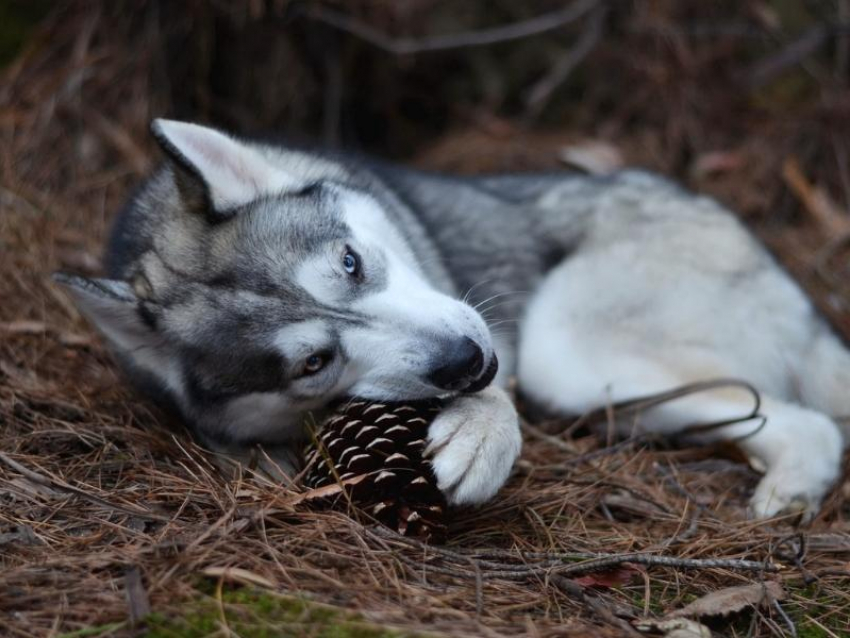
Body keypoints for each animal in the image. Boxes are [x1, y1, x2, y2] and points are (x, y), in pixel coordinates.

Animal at [56, 122, 844, 524]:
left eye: (351, 262)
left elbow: (496, 395)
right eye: (313, 362)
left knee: (814, 424)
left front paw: (480, 434)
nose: (466, 360)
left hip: (565, 349)